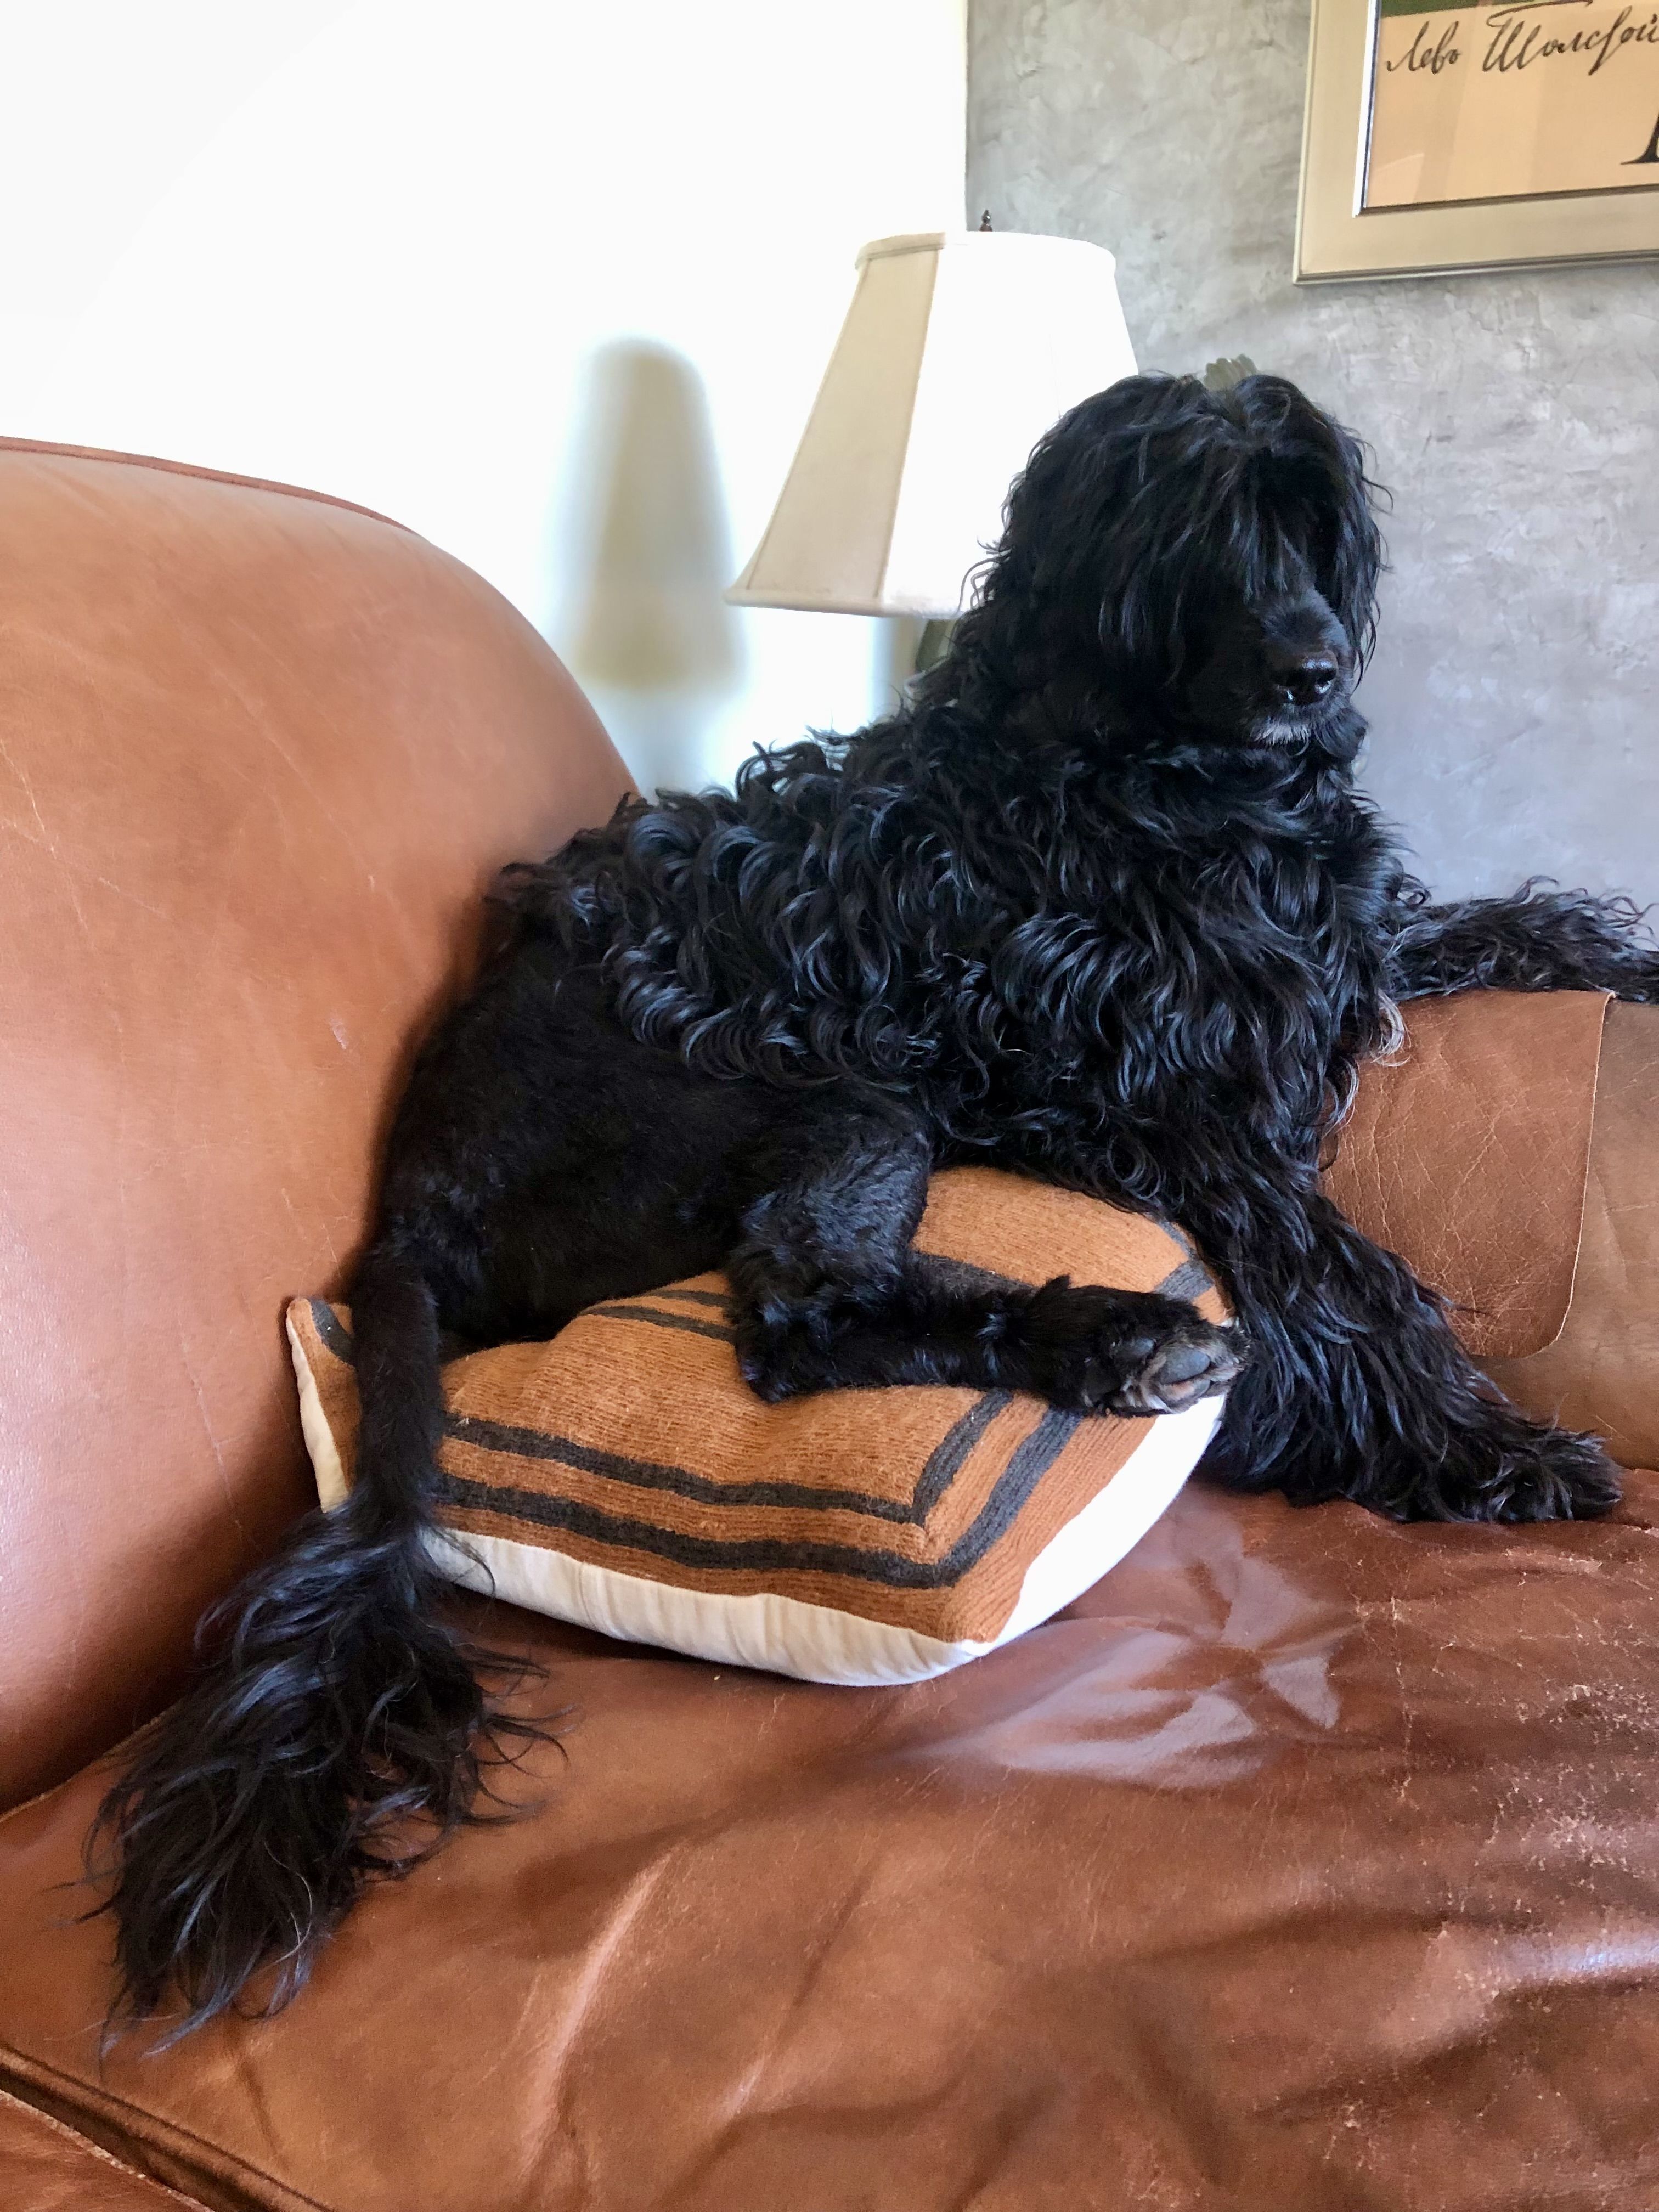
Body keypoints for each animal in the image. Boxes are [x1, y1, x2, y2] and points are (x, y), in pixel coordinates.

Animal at [95, 371, 1659, 2034]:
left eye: (1305, 518)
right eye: (1186, 531)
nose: (1308, 666)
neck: (1155, 786)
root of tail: (414, 1187)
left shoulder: (1320, 956)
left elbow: (1487, 924)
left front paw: (1625, 957)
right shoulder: (1138, 1100)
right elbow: (1345, 1273)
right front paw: (1476, 1446)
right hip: (844, 1098)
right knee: (798, 1313)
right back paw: (1117, 1341)